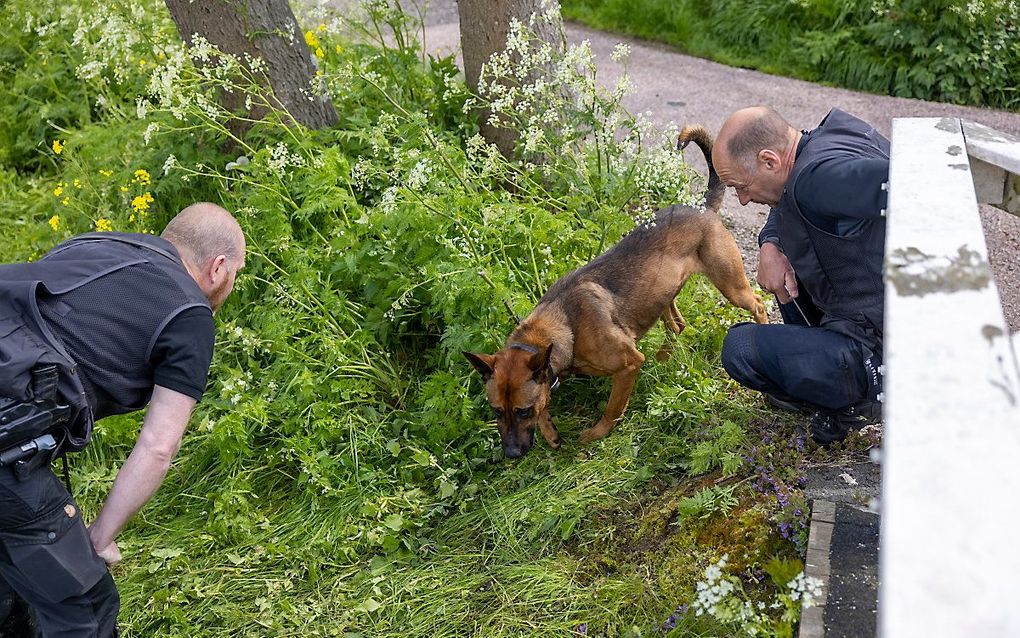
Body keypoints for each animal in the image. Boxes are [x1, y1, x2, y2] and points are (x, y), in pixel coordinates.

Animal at [463, 125, 767, 457]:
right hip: (662, 292)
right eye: (496, 411)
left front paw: (598, 433)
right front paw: (551, 432)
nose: (512, 454)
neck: (566, 324)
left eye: (522, 411)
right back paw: (663, 357)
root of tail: (702, 205)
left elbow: (612, 408)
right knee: (678, 324)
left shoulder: (627, 365)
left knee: (759, 302)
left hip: (730, 285)